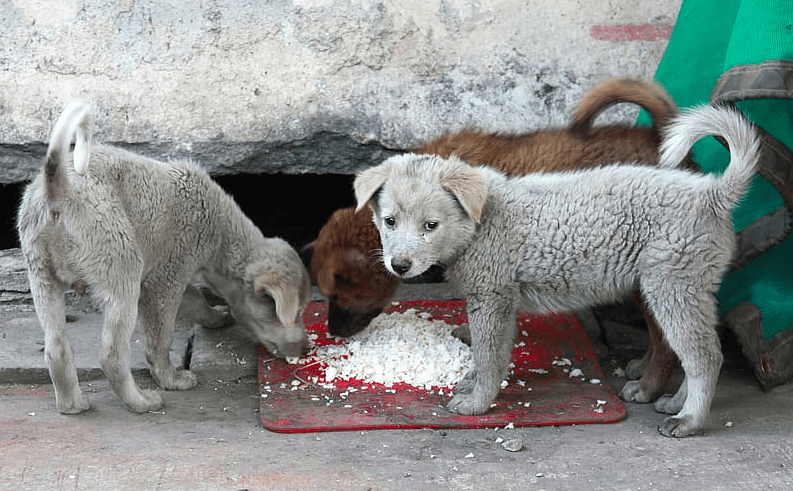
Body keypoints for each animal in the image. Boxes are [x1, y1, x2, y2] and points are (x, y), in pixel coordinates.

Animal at [18, 103, 310, 416]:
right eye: (295, 313)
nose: (307, 349)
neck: (220, 230)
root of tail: (58, 191)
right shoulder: (165, 281)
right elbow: (161, 339)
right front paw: (172, 379)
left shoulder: (168, 273)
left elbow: (197, 301)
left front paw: (217, 317)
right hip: (121, 267)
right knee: (112, 355)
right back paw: (141, 401)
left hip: (41, 276)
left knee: (56, 348)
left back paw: (72, 405)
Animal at [354, 106, 760, 438]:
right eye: (389, 221)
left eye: (430, 225)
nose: (399, 265)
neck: (483, 220)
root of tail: (712, 194)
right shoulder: (501, 301)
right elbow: (493, 355)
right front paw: (472, 384)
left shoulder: (491, 298)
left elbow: (488, 356)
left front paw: (476, 404)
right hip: (692, 289)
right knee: (701, 350)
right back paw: (676, 402)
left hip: (673, 286)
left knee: (704, 357)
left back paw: (688, 419)